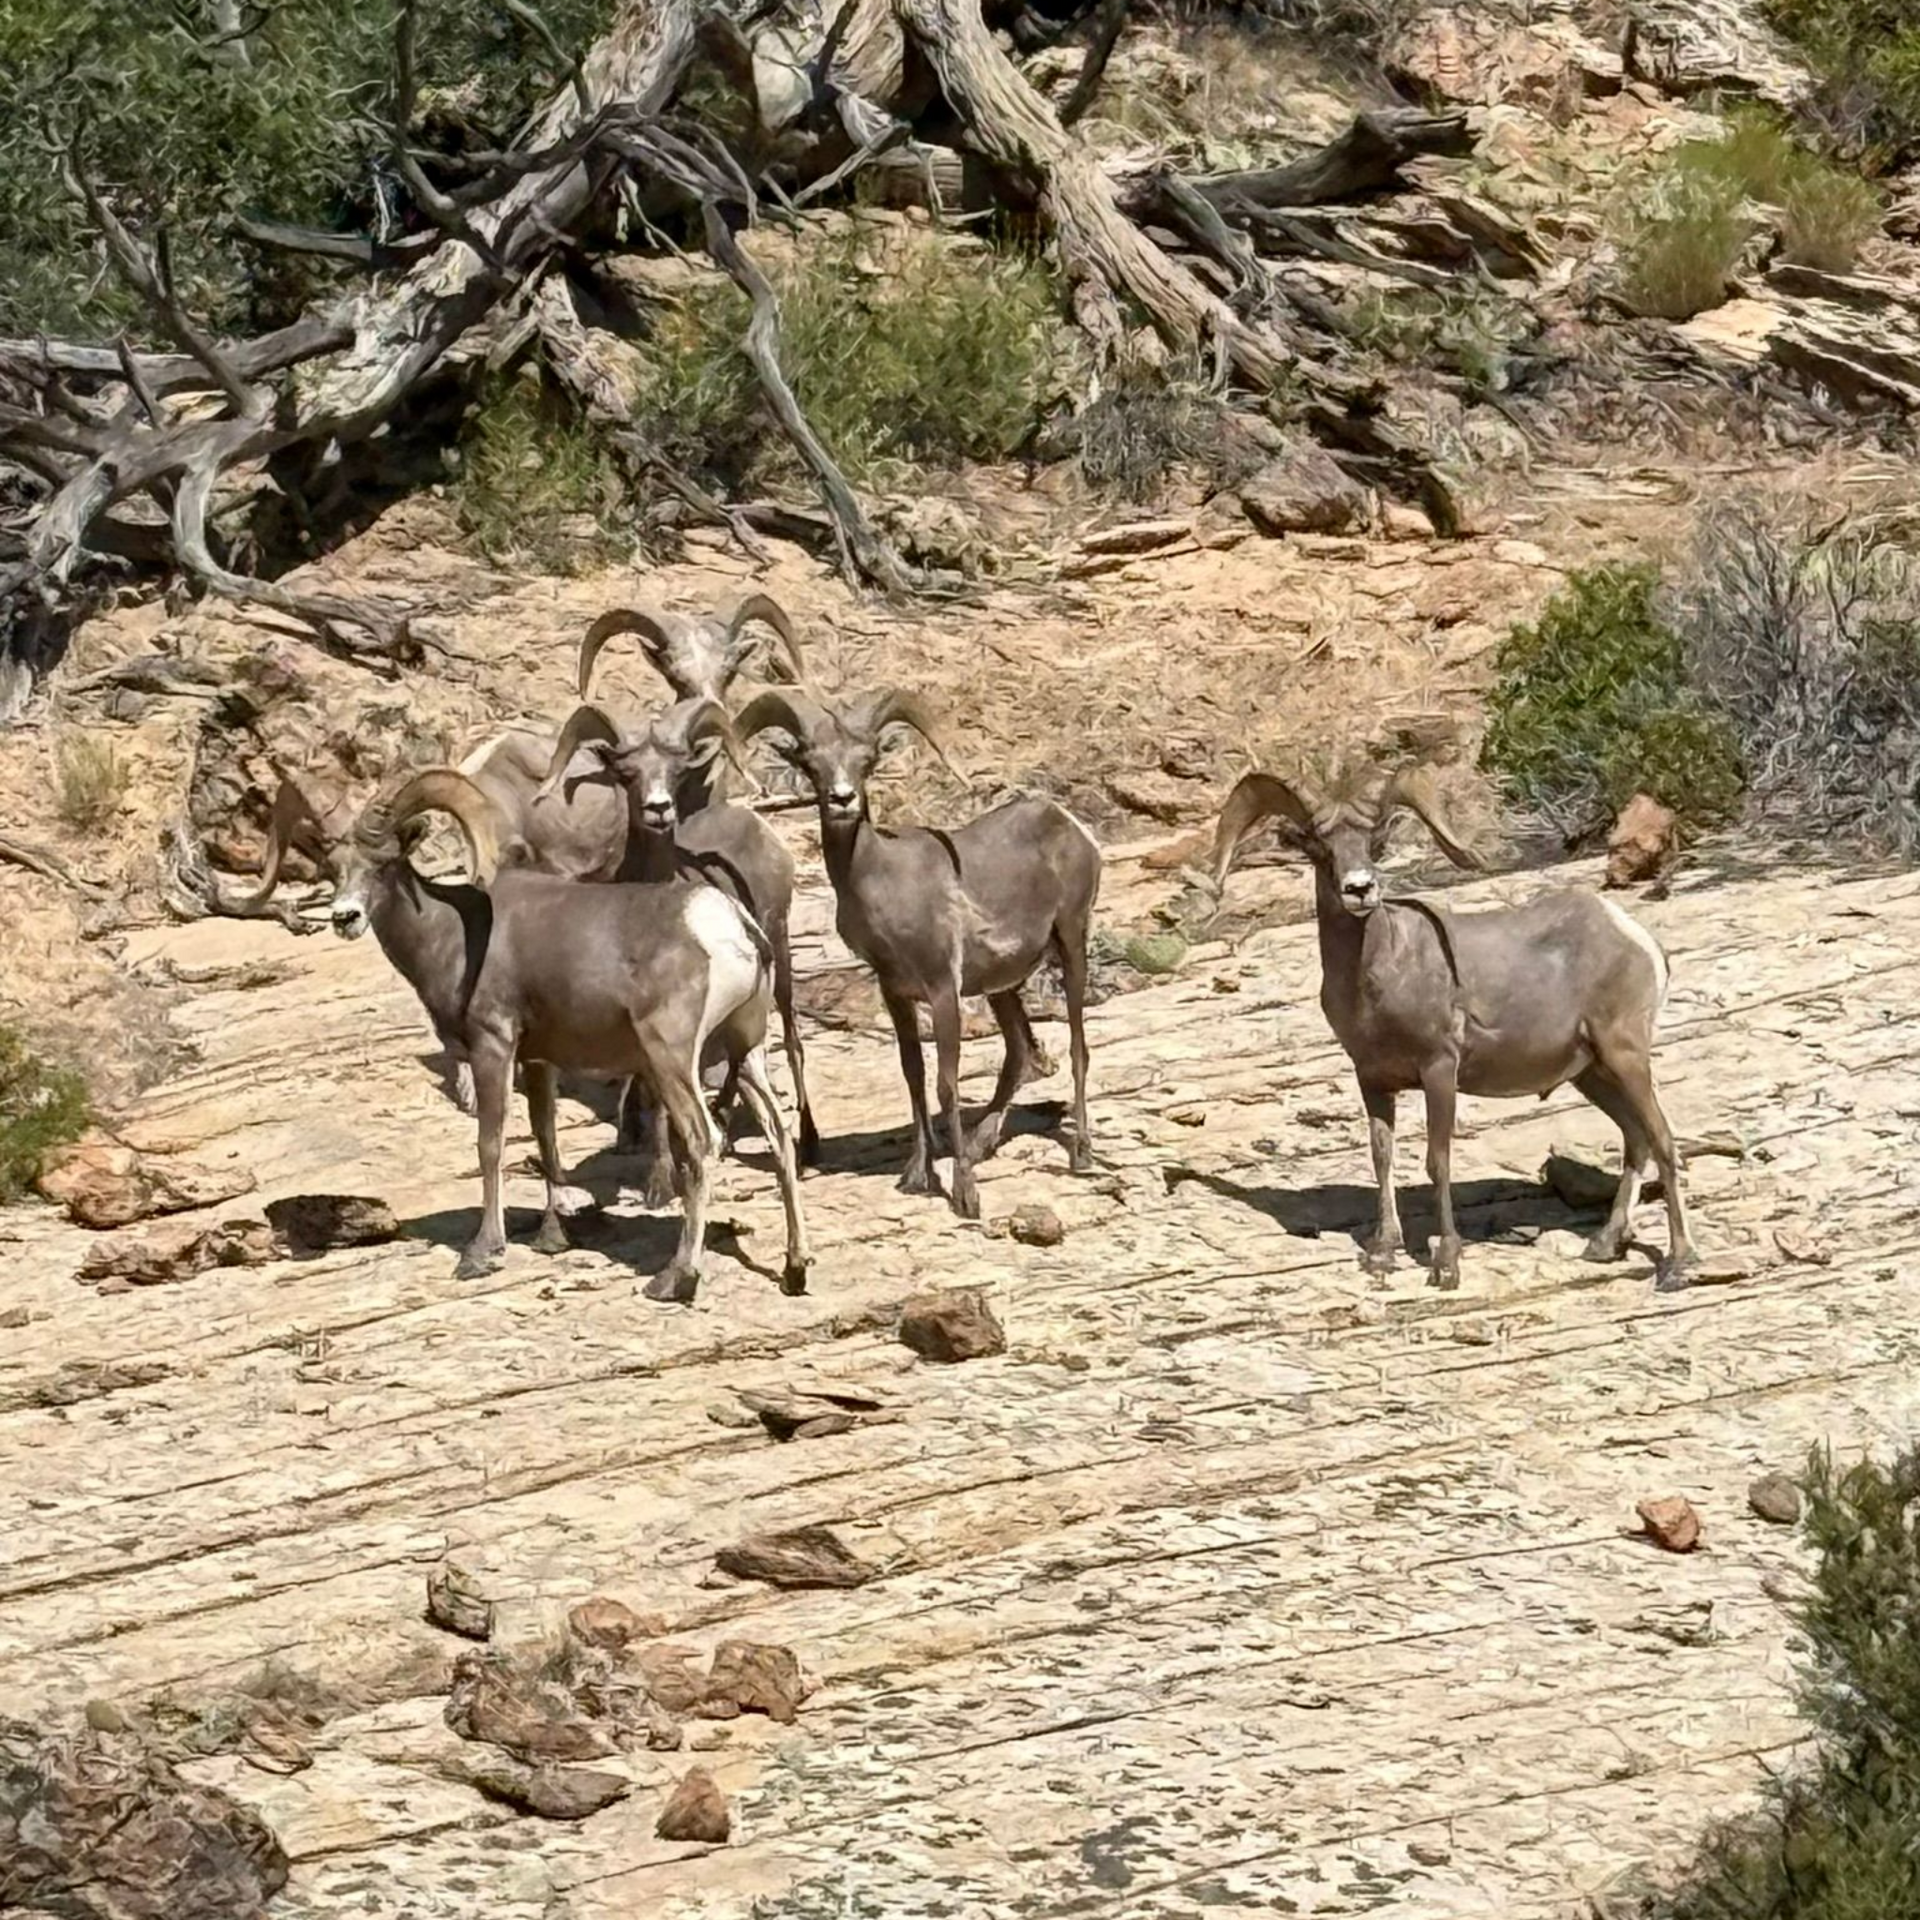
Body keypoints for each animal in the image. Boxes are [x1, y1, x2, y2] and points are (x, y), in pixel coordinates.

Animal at [326, 766, 809, 1303]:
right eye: (335, 868)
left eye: (385, 863)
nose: (344, 917)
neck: (452, 934)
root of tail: (729, 928)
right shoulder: (539, 1060)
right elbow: (546, 1139)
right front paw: (552, 1236)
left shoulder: (494, 1047)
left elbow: (490, 1144)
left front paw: (482, 1253)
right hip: (744, 1052)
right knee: (780, 1138)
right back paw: (794, 1270)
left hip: (672, 1060)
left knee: (705, 1143)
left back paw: (675, 1278)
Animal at [539, 693, 819, 1180]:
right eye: (627, 773)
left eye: (674, 771)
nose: (659, 808)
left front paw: (664, 1176)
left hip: (777, 961)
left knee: (789, 1042)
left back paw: (803, 1147)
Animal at [737, 687, 1100, 1220]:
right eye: (811, 763)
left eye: (867, 760)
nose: (842, 799)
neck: (884, 883)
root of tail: (1071, 827)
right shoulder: (897, 995)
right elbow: (913, 1075)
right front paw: (919, 1175)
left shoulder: (943, 989)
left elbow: (946, 1083)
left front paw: (966, 1196)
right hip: (1002, 986)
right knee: (1019, 1053)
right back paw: (980, 1143)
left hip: (1071, 942)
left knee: (1077, 1046)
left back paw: (1081, 1154)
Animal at [1210, 759, 1699, 1290]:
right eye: (1320, 848)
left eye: (1373, 841)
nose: (1360, 889)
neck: (1378, 978)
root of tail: (1634, 937)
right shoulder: (1372, 1080)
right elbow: (1382, 1156)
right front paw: (1383, 1252)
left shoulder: (1439, 1071)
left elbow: (1437, 1161)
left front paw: (1445, 1263)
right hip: (1591, 1074)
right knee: (1636, 1139)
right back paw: (1605, 1245)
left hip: (1624, 1055)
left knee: (1663, 1141)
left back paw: (1679, 1264)